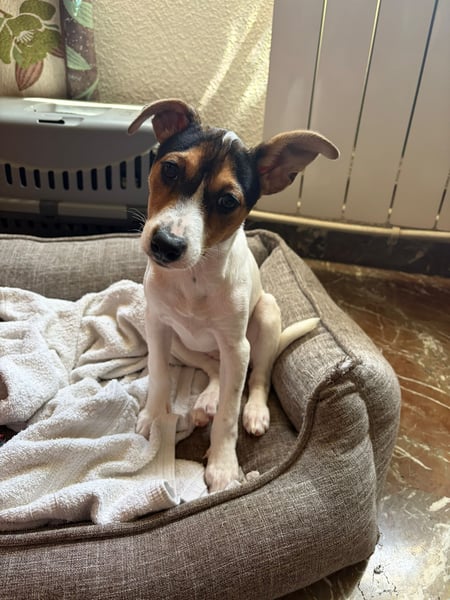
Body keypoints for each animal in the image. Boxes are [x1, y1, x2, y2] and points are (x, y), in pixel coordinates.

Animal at [128, 99, 339, 492]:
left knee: (257, 378)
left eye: (228, 201)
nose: (166, 245)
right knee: (213, 369)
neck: (194, 277)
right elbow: (160, 377)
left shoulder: (236, 346)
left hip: (265, 317)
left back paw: (253, 410)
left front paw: (224, 465)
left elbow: (228, 413)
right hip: (182, 344)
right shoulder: (158, 328)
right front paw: (153, 416)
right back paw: (206, 399)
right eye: (170, 169)